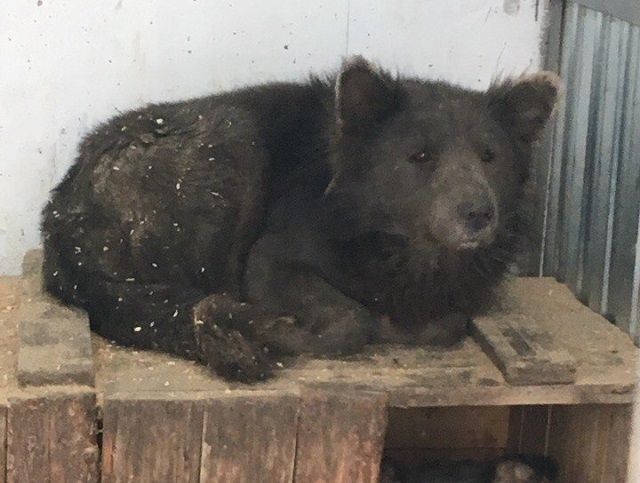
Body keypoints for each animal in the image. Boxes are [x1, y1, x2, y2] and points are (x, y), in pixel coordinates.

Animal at [42, 56, 556, 382]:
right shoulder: (269, 262)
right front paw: (281, 329)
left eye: (489, 158)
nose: (480, 214)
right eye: (420, 156)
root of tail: (61, 210)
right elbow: (354, 320)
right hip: (235, 136)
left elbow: (450, 321)